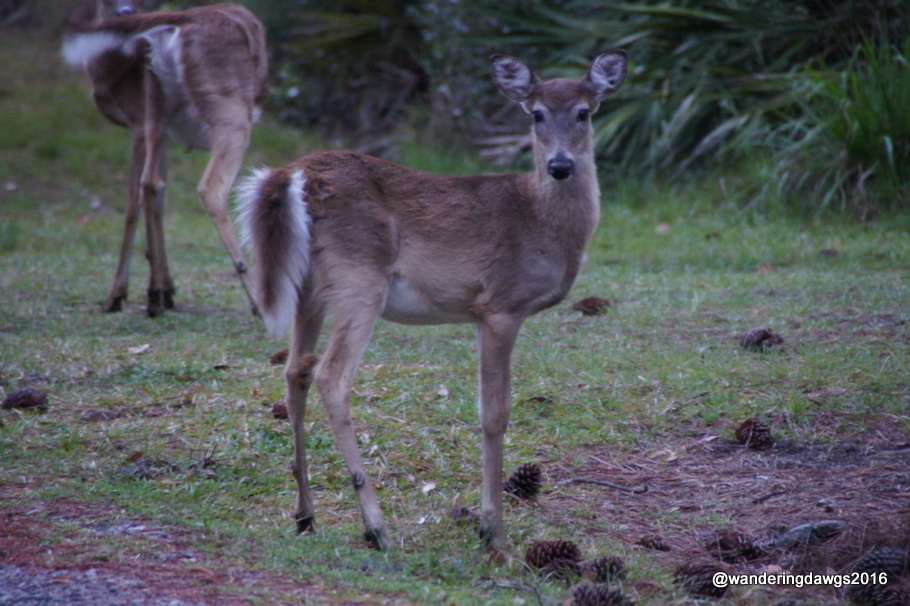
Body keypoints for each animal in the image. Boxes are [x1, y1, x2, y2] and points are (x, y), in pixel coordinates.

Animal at [62, 0, 268, 317]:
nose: (125, 11)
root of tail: (181, 21)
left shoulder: (147, 126)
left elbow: (151, 200)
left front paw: (161, 290)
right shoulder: (137, 124)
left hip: (157, 105)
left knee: (150, 183)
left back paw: (152, 297)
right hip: (228, 110)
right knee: (210, 188)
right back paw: (256, 301)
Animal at [235, 51, 628, 552]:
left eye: (584, 112)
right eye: (536, 114)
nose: (560, 165)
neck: (541, 220)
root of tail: (291, 175)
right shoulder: (499, 305)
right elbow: (494, 415)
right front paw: (493, 532)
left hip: (311, 288)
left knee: (294, 371)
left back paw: (306, 516)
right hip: (360, 276)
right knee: (332, 376)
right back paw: (376, 527)